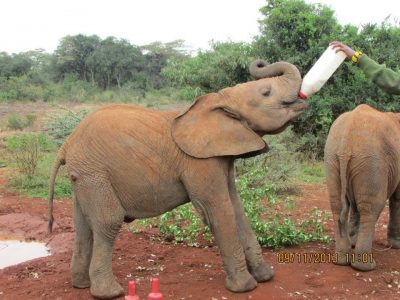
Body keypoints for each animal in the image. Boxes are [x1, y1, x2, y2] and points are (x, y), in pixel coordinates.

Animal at [324, 105, 400, 272]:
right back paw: (365, 267)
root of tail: (346, 142)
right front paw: (396, 245)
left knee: (337, 206)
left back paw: (341, 260)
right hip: (371, 162)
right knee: (370, 208)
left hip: (332, 158)